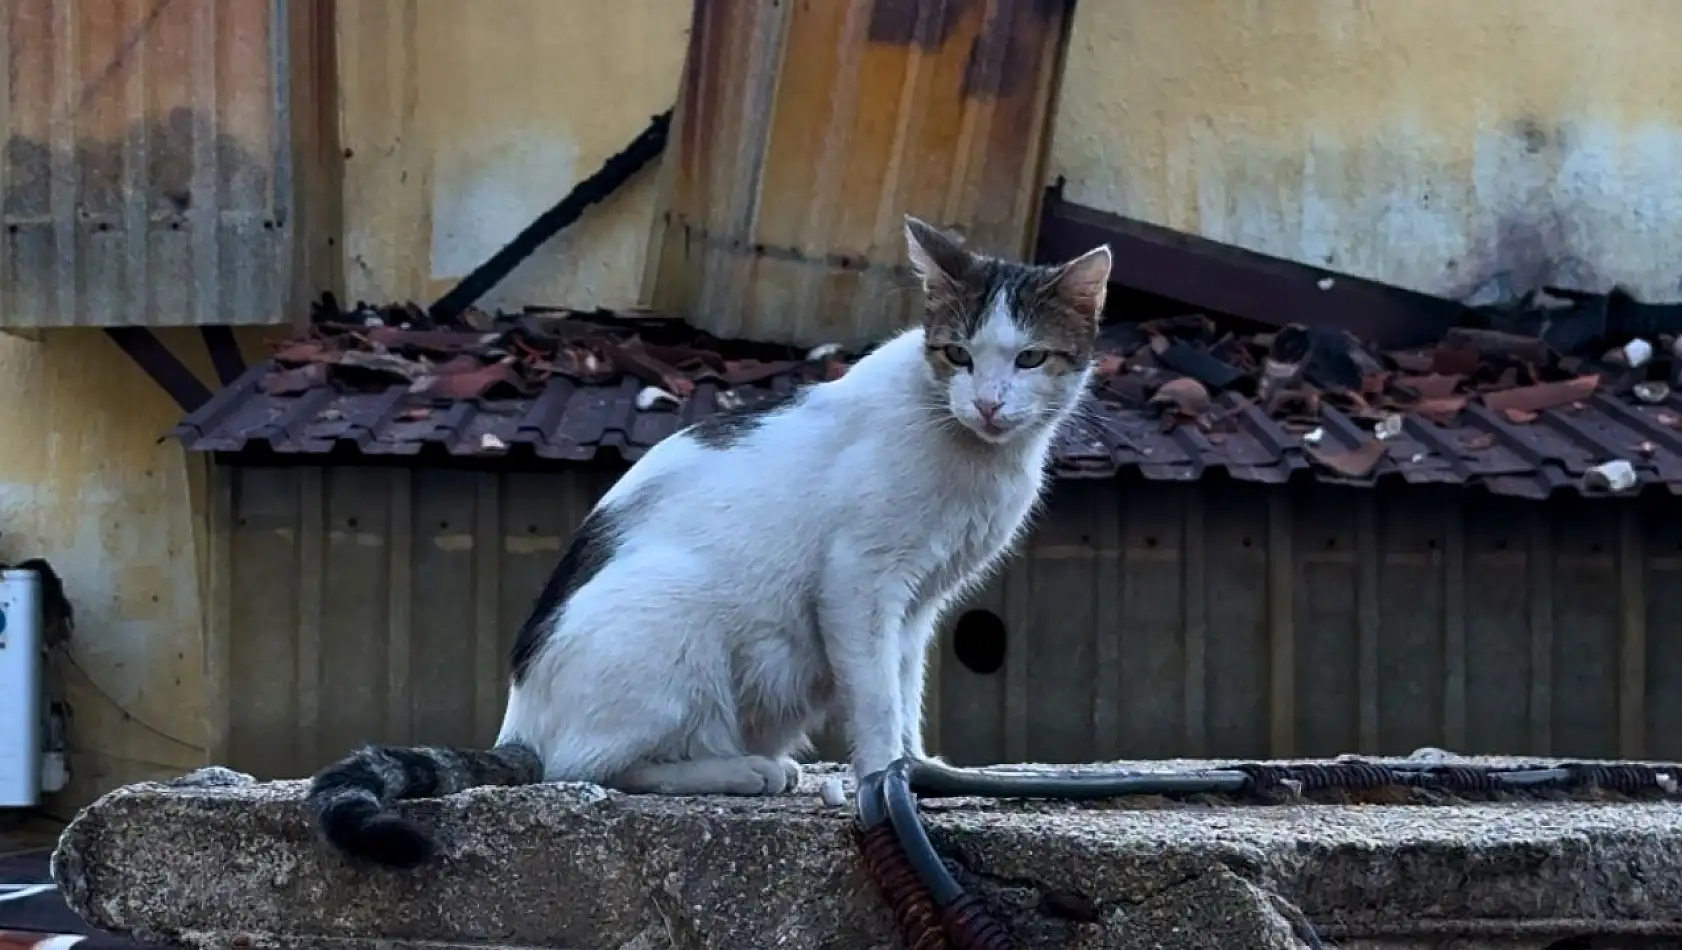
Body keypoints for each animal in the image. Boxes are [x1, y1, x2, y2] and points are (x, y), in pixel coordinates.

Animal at [306, 216, 1116, 867]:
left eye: (1030, 359)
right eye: (956, 354)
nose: (988, 403)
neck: (974, 453)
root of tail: (520, 722)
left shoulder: (916, 605)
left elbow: (903, 685)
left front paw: (914, 770)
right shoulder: (860, 583)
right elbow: (875, 696)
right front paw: (882, 782)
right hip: (671, 615)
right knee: (583, 768)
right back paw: (740, 769)